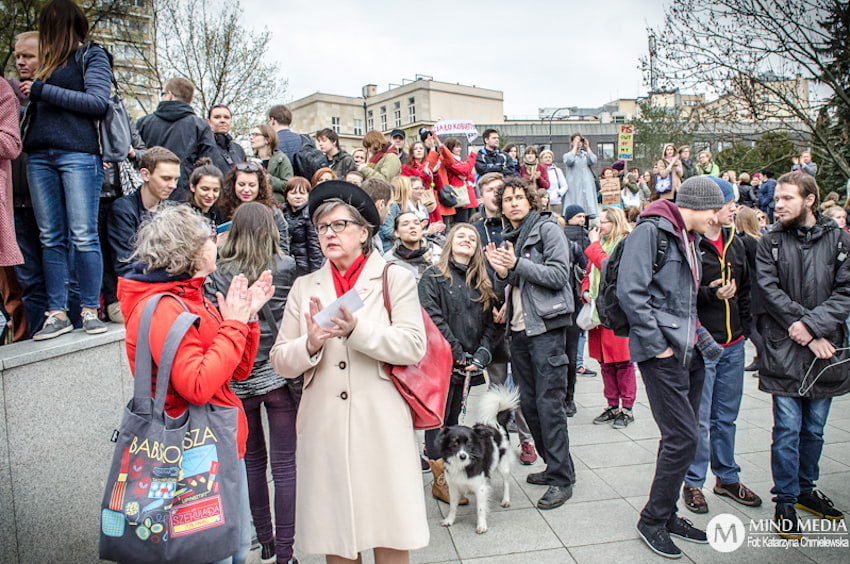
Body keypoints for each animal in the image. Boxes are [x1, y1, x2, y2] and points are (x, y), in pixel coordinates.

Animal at [438, 386, 516, 536]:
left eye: (469, 444)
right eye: (454, 443)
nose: (463, 456)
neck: (462, 464)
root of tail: (496, 422)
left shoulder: (480, 488)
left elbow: (480, 508)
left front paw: (481, 526)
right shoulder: (453, 486)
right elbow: (452, 506)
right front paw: (450, 520)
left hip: (503, 465)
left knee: (506, 483)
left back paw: (506, 500)